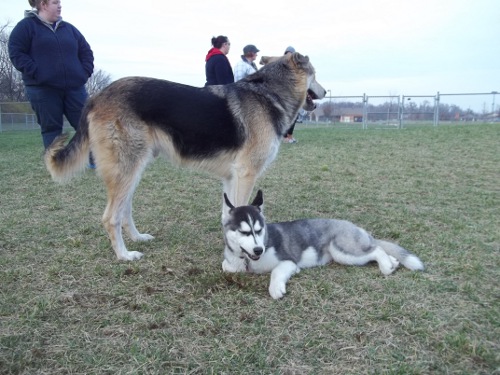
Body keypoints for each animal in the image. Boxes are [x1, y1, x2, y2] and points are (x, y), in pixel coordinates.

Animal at [45, 53, 326, 262]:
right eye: (316, 73)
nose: (325, 92)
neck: (269, 94)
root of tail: (96, 97)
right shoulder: (246, 174)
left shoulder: (232, 177)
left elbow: (228, 215)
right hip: (126, 171)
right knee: (111, 217)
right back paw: (125, 255)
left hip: (133, 171)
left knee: (124, 210)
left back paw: (137, 238)